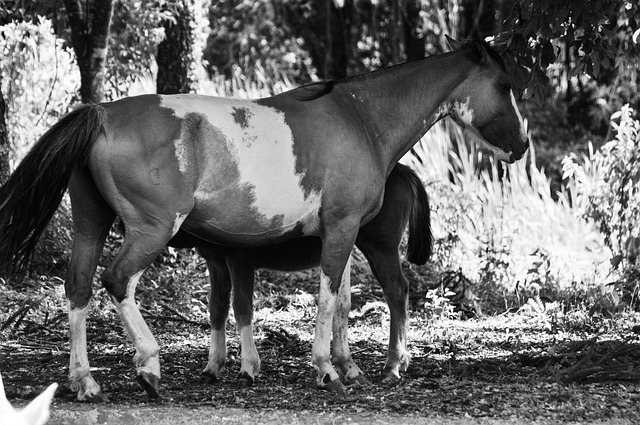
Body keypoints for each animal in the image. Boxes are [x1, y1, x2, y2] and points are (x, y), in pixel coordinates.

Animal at [195, 162, 432, 388]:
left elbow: (242, 307)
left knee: (396, 290)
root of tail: (403, 171)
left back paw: (392, 365)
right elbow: (217, 307)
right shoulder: (215, 260)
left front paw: (247, 370)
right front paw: (212, 368)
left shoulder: (240, 256)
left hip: (380, 246)